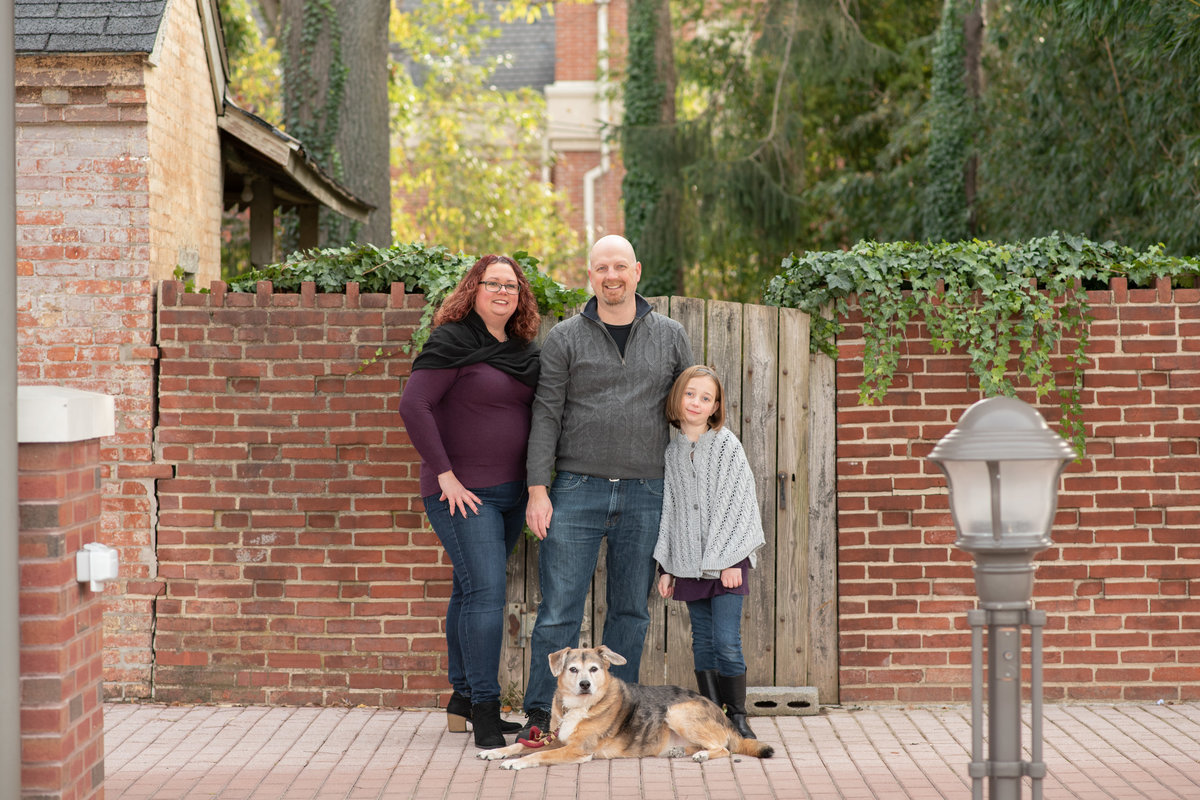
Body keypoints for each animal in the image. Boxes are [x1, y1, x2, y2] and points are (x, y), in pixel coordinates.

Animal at [472, 642, 772, 767]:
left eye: (594, 669)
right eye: (572, 669)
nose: (585, 684)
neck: (580, 706)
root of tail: (722, 715)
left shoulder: (577, 750)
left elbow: (536, 755)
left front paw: (516, 763)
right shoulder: (555, 739)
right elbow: (521, 745)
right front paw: (497, 752)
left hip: (677, 711)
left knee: (723, 748)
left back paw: (702, 755)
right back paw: (680, 751)